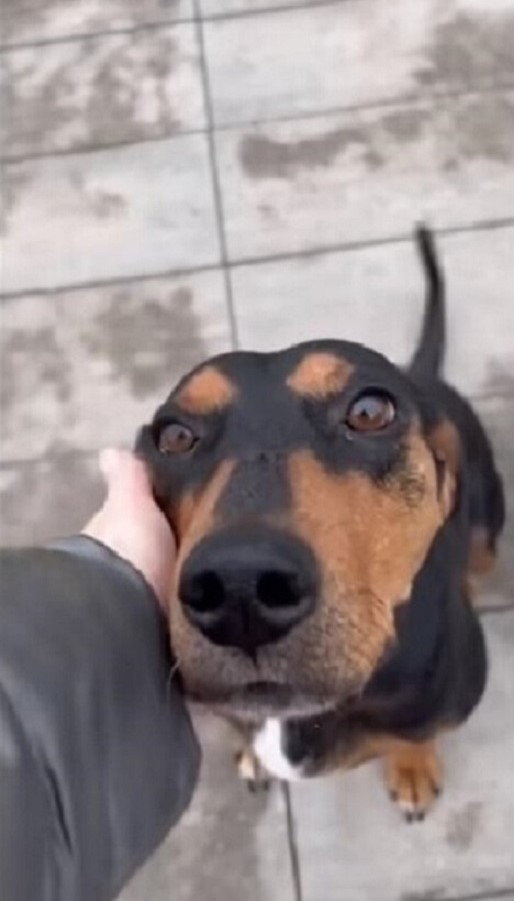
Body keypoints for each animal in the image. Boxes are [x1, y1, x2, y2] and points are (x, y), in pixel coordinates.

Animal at [137, 227, 504, 824]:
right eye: (173, 436)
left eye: (371, 412)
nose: (240, 589)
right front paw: (253, 755)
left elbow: (417, 734)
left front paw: (412, 767)